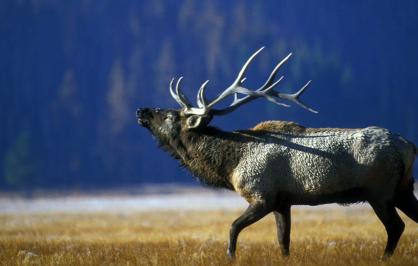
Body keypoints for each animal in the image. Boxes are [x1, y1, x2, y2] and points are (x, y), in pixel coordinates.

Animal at [136, 46, 414, 258]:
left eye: (170, 115)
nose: (141, 110)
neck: (230, 165)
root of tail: (409, 147)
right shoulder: (283, 202)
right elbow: (283, 241)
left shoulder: (263, 195)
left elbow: (233, 228)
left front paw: (231, 257)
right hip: (403, 189)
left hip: (379, 191)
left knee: (396, 226)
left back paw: (384, 258)